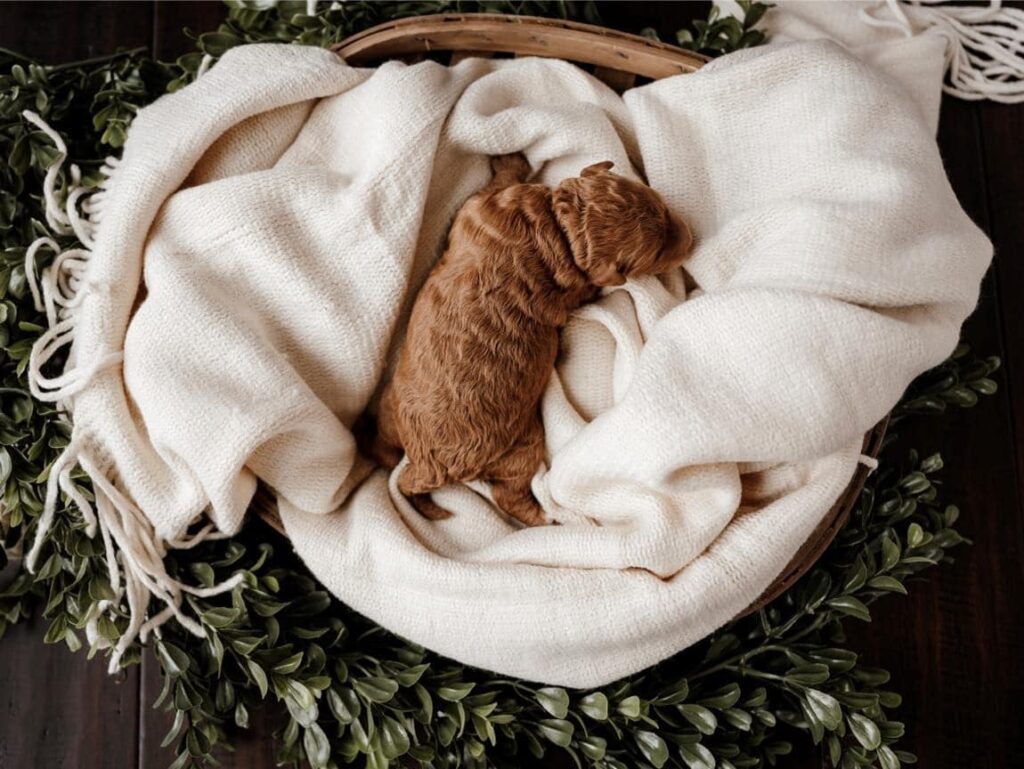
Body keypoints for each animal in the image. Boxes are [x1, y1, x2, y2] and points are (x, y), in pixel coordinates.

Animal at [363, 153, 692, 525]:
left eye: (662, 207)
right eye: (657, 254)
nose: (691, 238)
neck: (561, 229)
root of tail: (436, 467)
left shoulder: (482, 206)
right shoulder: (488, 209)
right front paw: (513, 159)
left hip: (406, 412)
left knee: (392, 448)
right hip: (512, 447)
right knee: (506, 493)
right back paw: (543, 517)